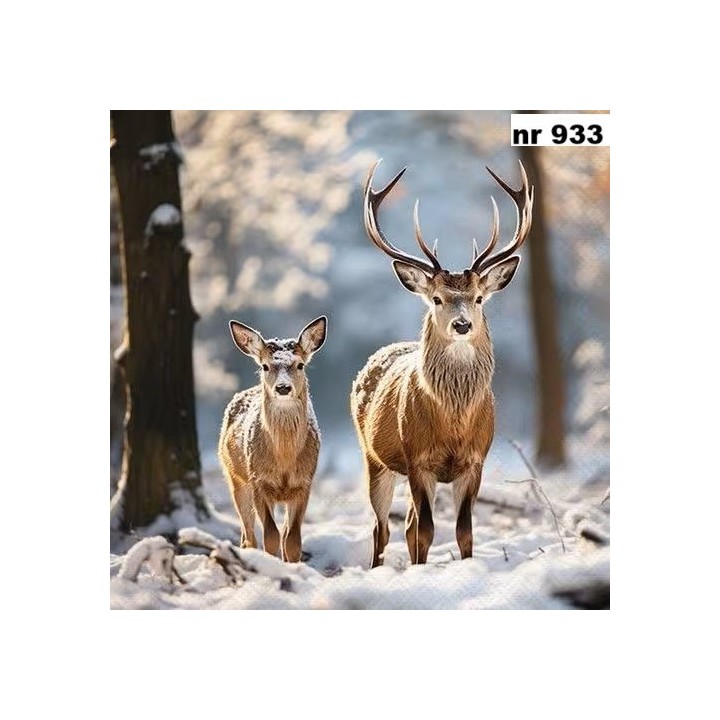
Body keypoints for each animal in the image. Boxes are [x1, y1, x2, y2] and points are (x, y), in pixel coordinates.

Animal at [218, 316, 327, 562]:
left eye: (300, 365)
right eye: (265, 366)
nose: (283, 387)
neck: (284, 460)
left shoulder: (304, 483)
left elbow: (292, 540)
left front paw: (292, 565)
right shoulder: (259, 481)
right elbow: (270, 536)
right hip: (235, 477)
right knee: (248, 535)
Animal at [351, 160, 533, 567]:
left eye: (479, 298)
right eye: (436, 298)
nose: (462, 324)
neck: (453, 422)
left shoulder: (475, 460)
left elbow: (464, 531)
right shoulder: (417, 459)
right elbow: (427, 531)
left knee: (403, 525)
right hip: (374, 457)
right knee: (382, 528)